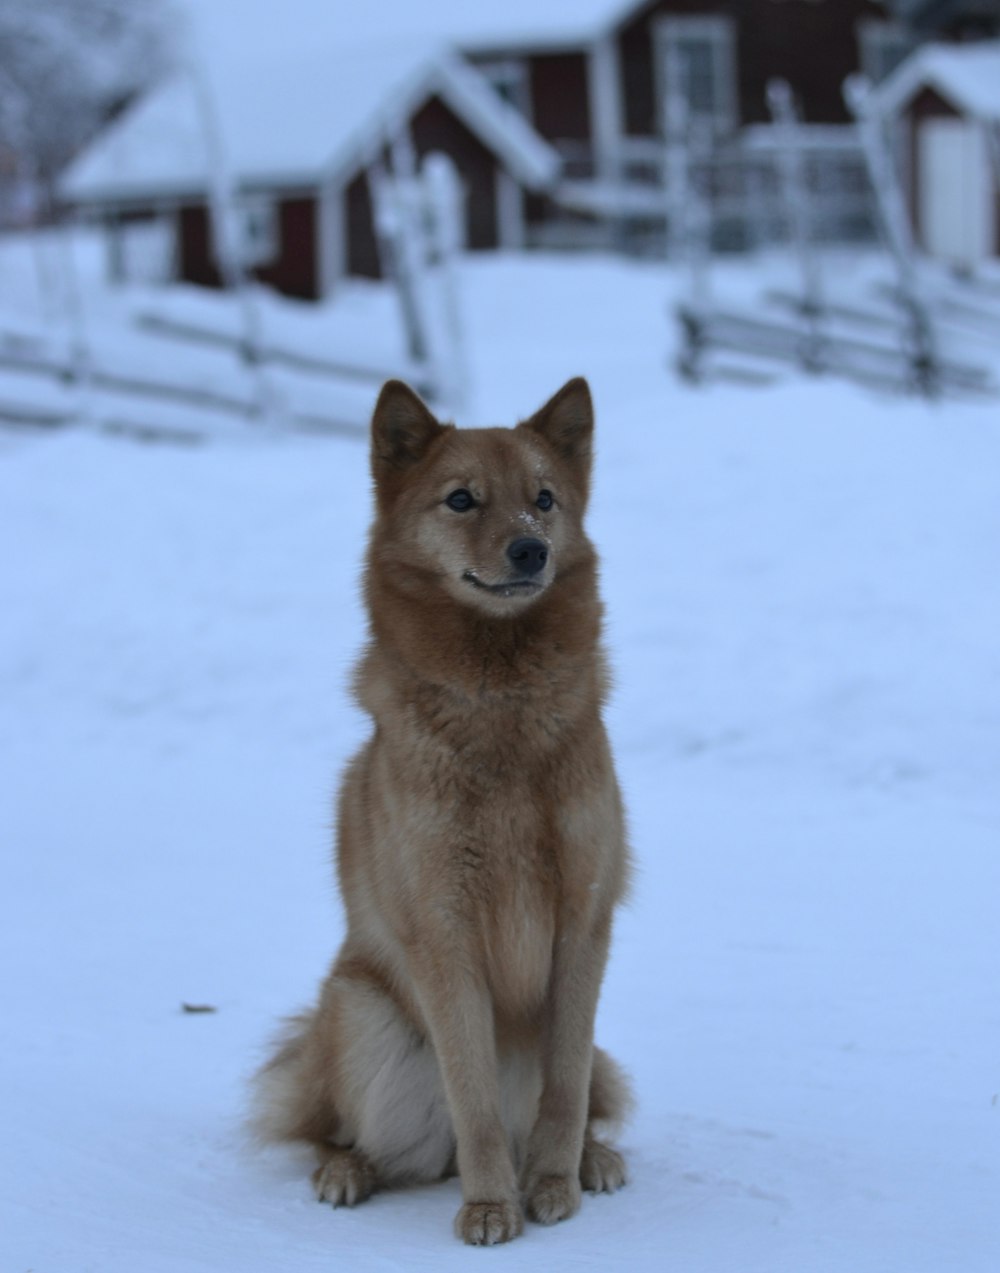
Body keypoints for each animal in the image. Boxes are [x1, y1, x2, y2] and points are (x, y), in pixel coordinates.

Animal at [253, 374, 628, 1242]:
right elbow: (474, 1097)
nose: (530, 548)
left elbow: (563, 1088)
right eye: (461, 498)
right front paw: (493, 1204)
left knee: (583, 1093)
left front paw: (553, 1180)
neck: (504, 716)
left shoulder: (584, 921)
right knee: (349, 1132)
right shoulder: (444, 933)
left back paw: (593, 1157)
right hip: (365, 1019)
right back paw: (347, 1169)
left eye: (544, 499)